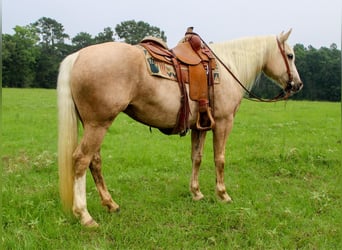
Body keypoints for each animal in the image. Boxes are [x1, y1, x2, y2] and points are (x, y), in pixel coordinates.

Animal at [57, 29, 304, 227]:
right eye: (290, 55)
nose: (298, 84)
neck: (228, 68)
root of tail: (78, 56)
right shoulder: (224, 122)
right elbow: (219, 159)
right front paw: (223, 195)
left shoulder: (200, 126)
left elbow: (197, 157)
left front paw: (196, 193)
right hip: (98, 124)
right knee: (81, 160)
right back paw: (85, 216)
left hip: (93, 124)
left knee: (94, 162)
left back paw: (110, 204)